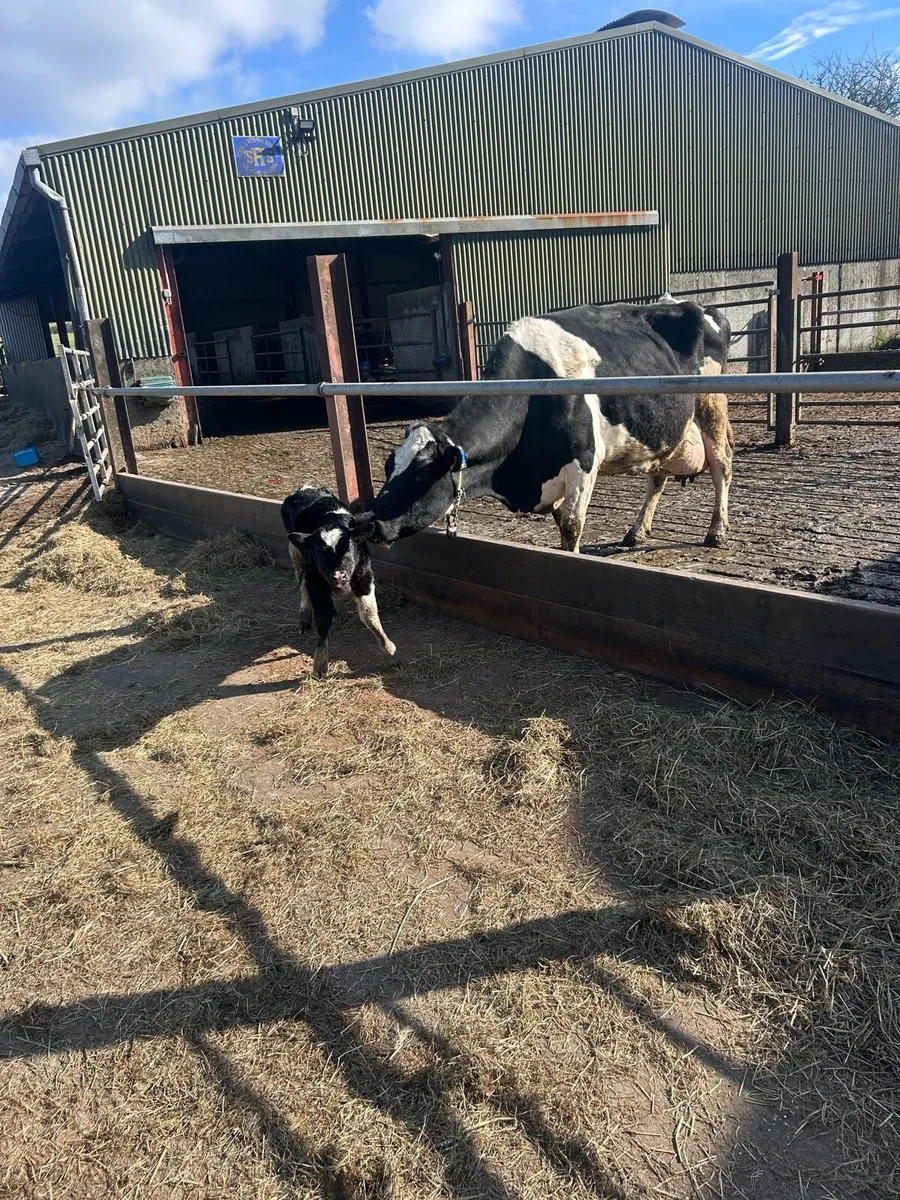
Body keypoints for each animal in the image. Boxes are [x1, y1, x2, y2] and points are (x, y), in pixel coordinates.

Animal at [281, 486, 399, 679]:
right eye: (320, 553)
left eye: (349, 548)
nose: (338, 576)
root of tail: (306, 488)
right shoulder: (316, 580)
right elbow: (323, 617)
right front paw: (320, 663)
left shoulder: (363, 576)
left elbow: (369, 615)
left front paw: (390, 654)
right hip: (295, 552)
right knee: (302, 584)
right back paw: (304, 618)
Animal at [367, 301, 730, 553]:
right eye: (388, 467)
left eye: (422, 473)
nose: (369, 523)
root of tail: (702, 307)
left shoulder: (584, 462)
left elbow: (571, 527)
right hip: (666, 432)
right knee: (658, 476)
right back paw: (636, 531)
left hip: (711, 403)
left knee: (722, 463)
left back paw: (716, 531)